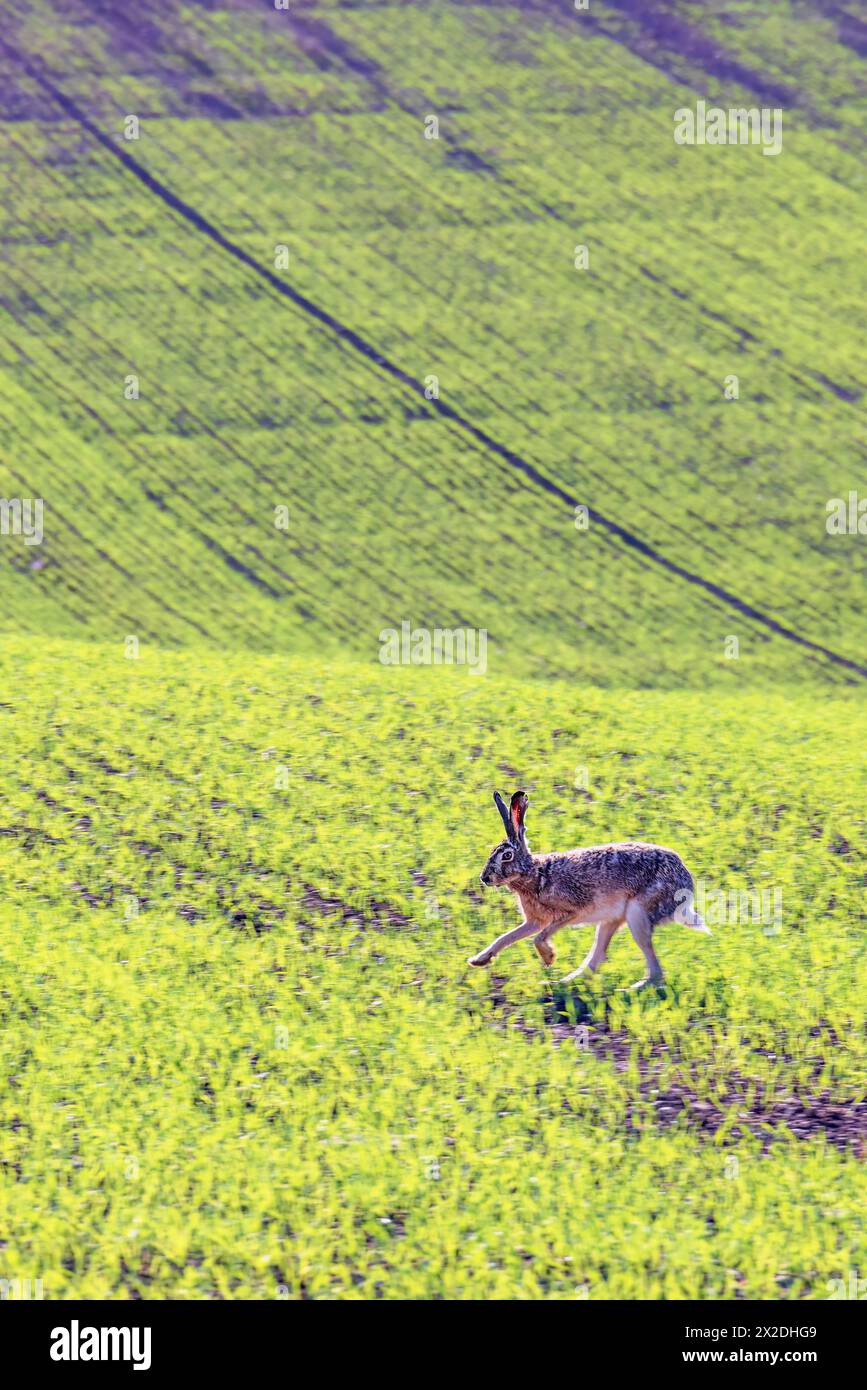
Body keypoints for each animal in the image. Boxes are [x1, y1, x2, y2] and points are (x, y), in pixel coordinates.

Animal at [468, 789, 710, 988]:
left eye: (507, 856)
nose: (484, 878)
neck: (535, 874)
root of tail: (686, 885)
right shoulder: (535, 921)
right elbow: (507, 937)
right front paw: (478, 960)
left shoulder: (572, 911)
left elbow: (537, 938)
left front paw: (549, 958)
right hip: (612, 921)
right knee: (597, 957)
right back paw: (561, 983)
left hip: (638, 913)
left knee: (654, 968)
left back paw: (631, 989)